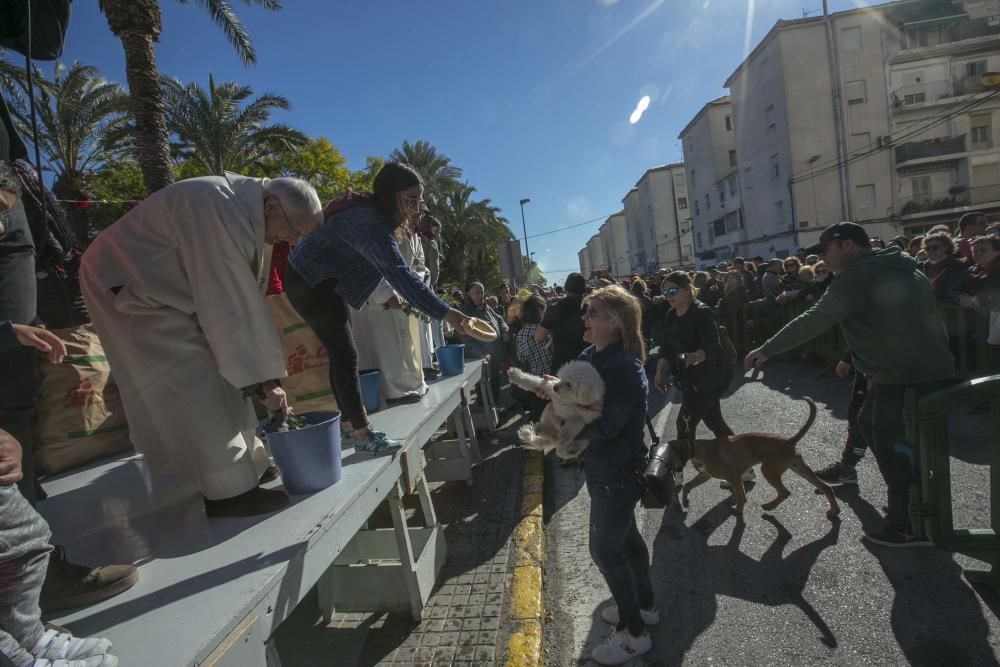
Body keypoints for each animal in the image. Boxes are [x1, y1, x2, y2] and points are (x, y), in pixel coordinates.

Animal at [672, 396, 836, 520]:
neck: (699, 449)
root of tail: (789, 441)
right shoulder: (705, 474)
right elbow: (687, 486)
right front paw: (685, 500)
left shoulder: (733, 477)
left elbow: (741, 496)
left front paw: (738, 510)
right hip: (799, 468)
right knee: (825, 487)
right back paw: (834, 511)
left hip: (769, 470)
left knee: (785, 492)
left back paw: (769, 505)